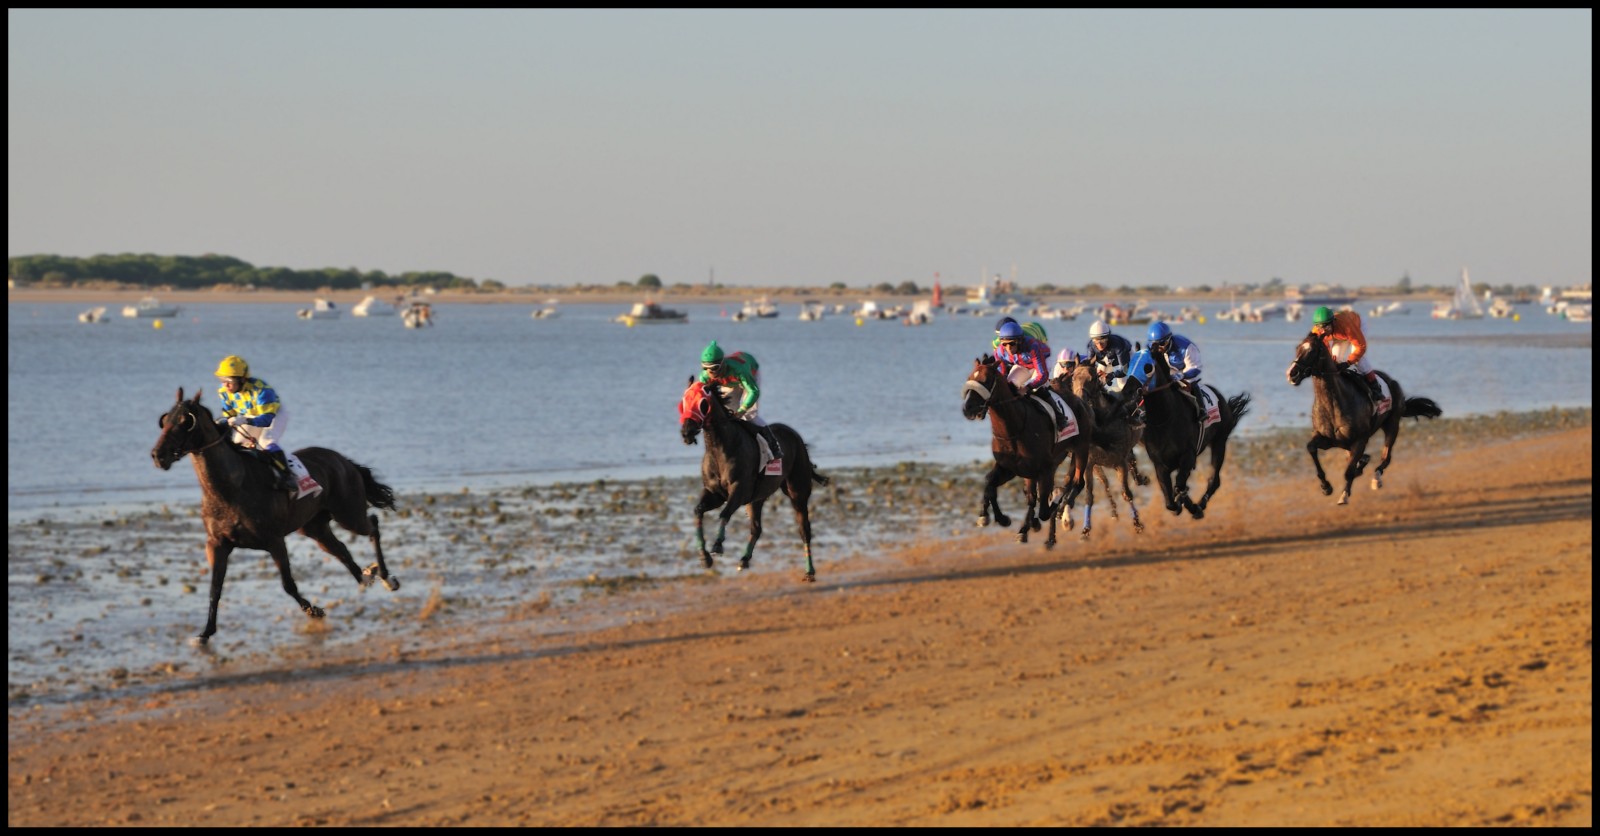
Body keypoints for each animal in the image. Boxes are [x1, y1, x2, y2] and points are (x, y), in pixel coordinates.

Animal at [150, 387, 400, 640]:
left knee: (372, 525)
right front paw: (206, 633)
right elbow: (215, 589)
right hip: (314, 527)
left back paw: (386, 577)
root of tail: (343, 460)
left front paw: (314, 611)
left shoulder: (274, 540)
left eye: (186, 421)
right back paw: (365, 576)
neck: (231, 488)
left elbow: (288, 584)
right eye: (165, 420)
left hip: (348, 514)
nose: (158, 455)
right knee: (341, 550)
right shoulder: (217, 544)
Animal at [678, 377, 832, 579]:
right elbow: (698, 511)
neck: (720, 448)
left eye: (703, 403)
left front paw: (717, 544)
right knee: (757, 528)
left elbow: (725, 513)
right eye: (683, 401)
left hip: (797, 492)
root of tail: (796, 436)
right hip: (757, 499)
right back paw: (744, 559)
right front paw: (704, 557)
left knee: (804, 529)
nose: (686, 432)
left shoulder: (739, 491)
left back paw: (809, 571)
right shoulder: (715, 493)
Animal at [953, 352, 1094, 544]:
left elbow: (1044, 509)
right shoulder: (1009, 467)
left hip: (1081, 448)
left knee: (1077, 483)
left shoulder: (1044, 470)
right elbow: (990, 483)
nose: (968, 409)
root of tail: (1079, 400)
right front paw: (996, 517)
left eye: (986, 381)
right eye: (969, 379)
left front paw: (1055, 504)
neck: (1014, 429)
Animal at [1280, 329, 1446, 499]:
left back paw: (1376, 480)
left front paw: (1344, 495)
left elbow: (1349, 471)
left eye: (1312, 350)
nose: (1292, 374)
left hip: (1392, 424)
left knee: (1386, 458)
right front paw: (1326, 486)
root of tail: (1392, 381)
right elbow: (1311, 448)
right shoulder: (1328, 439)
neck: (1332, 403)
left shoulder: (1360, 440)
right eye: (1297, 348)